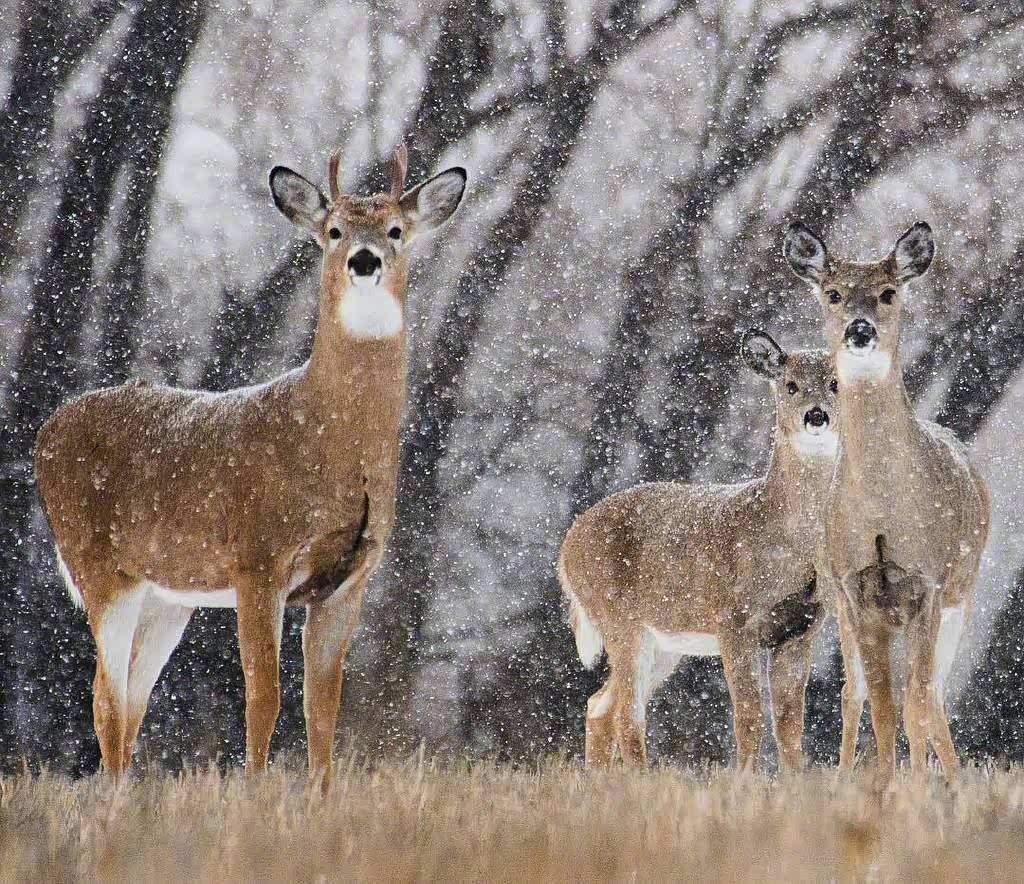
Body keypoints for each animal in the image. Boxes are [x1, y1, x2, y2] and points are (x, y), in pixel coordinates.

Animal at [33, 143, 467, 787]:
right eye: (334, 231)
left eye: (395, 230)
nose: (364, 260)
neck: (330, 442)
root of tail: (47, 431)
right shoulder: (258, 560)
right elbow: (264, 696)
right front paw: (255, 790)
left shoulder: (350, 579)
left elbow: (323, 705)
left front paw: (320, 795)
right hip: (100, 564)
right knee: (105, 700)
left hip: (170, 594)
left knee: (131, 699)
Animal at [558, 331, 839, 771]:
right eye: (790, 385)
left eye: (835, 384)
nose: (816, 416)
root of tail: (567, 546)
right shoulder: (733, 620)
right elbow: (749, 716)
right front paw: (743, 779)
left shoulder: (802, 627)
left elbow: (790, 723)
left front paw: (795, 781)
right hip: (618, 616)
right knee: (626, 713)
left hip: (663, 642)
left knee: (599, 704)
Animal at [783, 220, 990, 785]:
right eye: (833, 294)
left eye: (888, 292)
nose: (859, 330)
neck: (882, 511)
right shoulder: (857, 590)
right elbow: (881, 704)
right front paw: (882, 783)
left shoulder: (928, 582)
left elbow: (913, 703)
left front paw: (913, 784)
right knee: (857, 690)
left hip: (961, 594)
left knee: (933, 695)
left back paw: (952, 779)